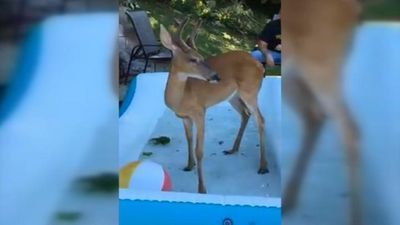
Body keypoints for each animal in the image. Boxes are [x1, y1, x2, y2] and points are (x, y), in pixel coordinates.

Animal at [159, 18, 268, 193]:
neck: (181, 98)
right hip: (233, 96)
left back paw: (263, 166)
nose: (216, 76)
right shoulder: (184, 118)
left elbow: (199, 150)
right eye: (193, 59)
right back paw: (233, 149)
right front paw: (189, 165)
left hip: (250, 91)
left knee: (260, 120)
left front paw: (202, 189)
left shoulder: (200, 111)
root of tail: (260, 65)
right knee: (246, 114)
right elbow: (189, 140)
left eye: (202, 57)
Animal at [282, 0, 362, 225]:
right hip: (294, 75)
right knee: (314, 116)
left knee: (350, 129)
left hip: (321, 64)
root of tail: (355, 9)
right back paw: (288, 199)